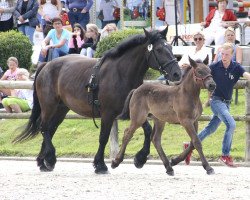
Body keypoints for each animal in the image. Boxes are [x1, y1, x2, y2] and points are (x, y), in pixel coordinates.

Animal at [14, 27, 182, 173]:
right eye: (159, 49)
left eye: (171, 47)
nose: (177, 73)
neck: (121, 74)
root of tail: (46, 65)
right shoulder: (108, 114)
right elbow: (103, 137)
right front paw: (100, 164)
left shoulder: (134, 112)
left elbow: (147, 130)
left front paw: (140, 159)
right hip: (49, 107)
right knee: (44, 128)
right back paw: (50, 159)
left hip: (61, 109)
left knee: (50, 129)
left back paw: (43, 162)